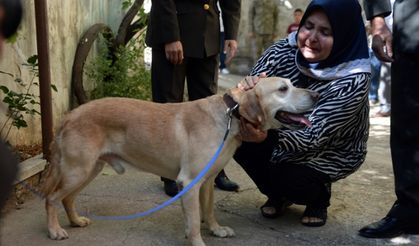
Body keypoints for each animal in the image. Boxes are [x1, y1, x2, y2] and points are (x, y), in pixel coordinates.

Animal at [41, 77, 318, 246]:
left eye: (291, 85)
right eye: (283, 89)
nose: (316, 94)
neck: (231, 115)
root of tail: (69, 115)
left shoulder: (207, 181)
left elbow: (208, 210)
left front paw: (216, 229)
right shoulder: (189, 182)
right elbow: (194, 220)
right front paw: (197, 241)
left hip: (88, 169)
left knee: (67, 198)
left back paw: (75, 221)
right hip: (78, 170)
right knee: (51, 198)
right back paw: (54, 230)